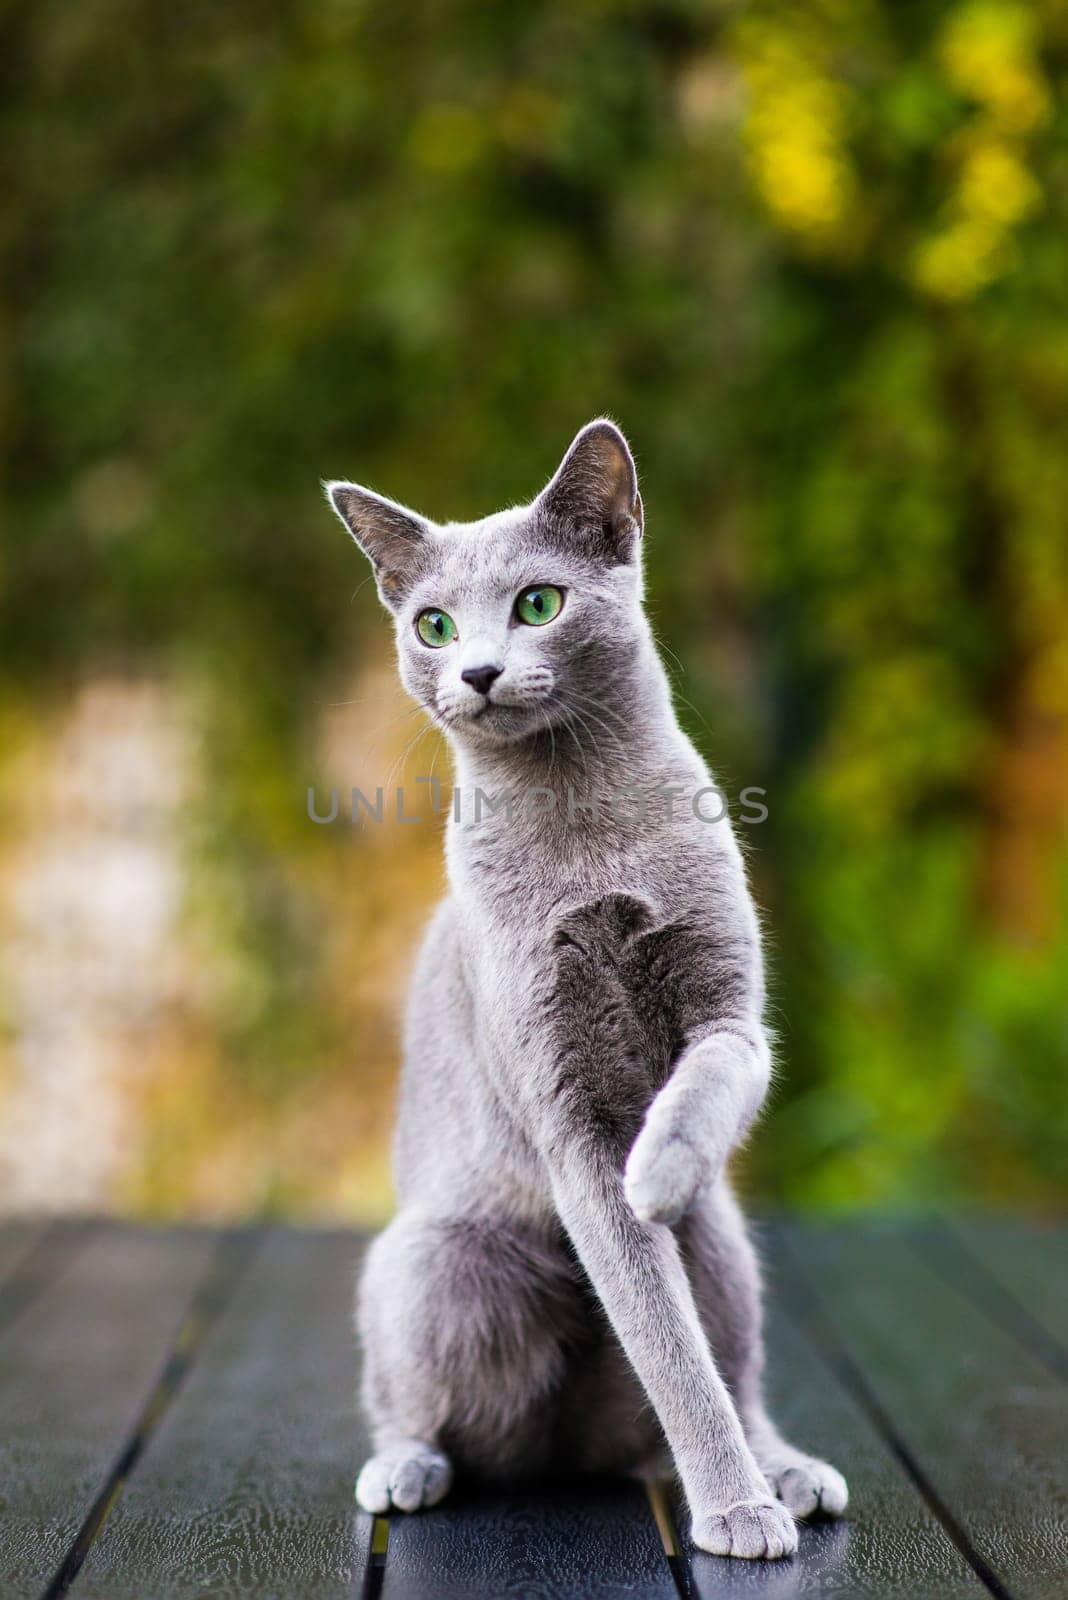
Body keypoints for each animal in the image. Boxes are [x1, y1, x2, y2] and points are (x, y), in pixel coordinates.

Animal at [329, 419, 844, 1555]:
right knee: (408, 1395)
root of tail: (565, 1453)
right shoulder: (563, 1112)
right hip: (433, 1259)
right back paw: (405, 1468)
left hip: (726, 1245)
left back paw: (790, 1470)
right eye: (433, 625)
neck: (584, 827)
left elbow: (721, 1064)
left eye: (537, 604)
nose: (477, 669)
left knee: (741, 1371)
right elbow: (666, 1345)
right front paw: (732, 1508)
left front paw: (660, 1164)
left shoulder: (729, 1001)